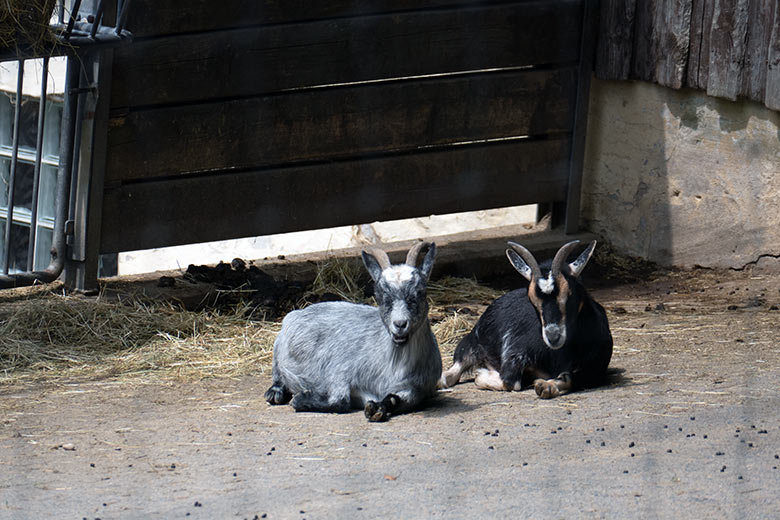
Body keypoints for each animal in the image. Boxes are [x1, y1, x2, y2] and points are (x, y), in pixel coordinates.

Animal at [266, 242, 442, 420]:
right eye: (379, 295)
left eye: (420, 293)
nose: (400, 324)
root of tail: (298, 312)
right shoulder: (338, 370)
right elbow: (340, 400)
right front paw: (300, 398)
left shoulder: (416, 390)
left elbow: (395, 399)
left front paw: (376, 409)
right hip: (278, 348)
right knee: (277, 373)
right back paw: (275, 393)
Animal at [442, 241, 612, 398]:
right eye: (532, 300)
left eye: (569, 293)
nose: (553, 337)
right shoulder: (515, 350)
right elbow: (511, 382)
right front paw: (481, 374)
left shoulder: (594, 369)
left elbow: (569, 378)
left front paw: (546, 386)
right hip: (473, 341)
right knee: (455, 368)